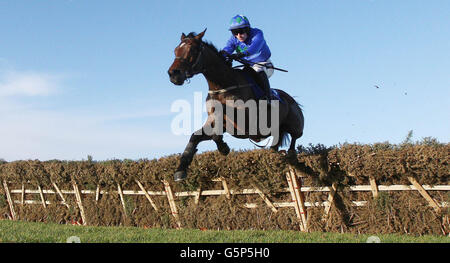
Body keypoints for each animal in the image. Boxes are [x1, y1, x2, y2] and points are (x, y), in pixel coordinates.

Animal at [169, 28, 306, 182]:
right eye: (175, 50)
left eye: (192, 50)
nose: (173, 74)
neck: (223, 85)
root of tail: (292, 99)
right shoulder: (218, 122)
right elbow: (195, 136)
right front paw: (180, 170)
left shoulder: (245, 122)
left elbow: (217, 132)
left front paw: (224, 147)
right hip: (277, 130)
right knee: (276, 145)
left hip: (295, 124)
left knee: (295, 136)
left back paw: (292, 154)